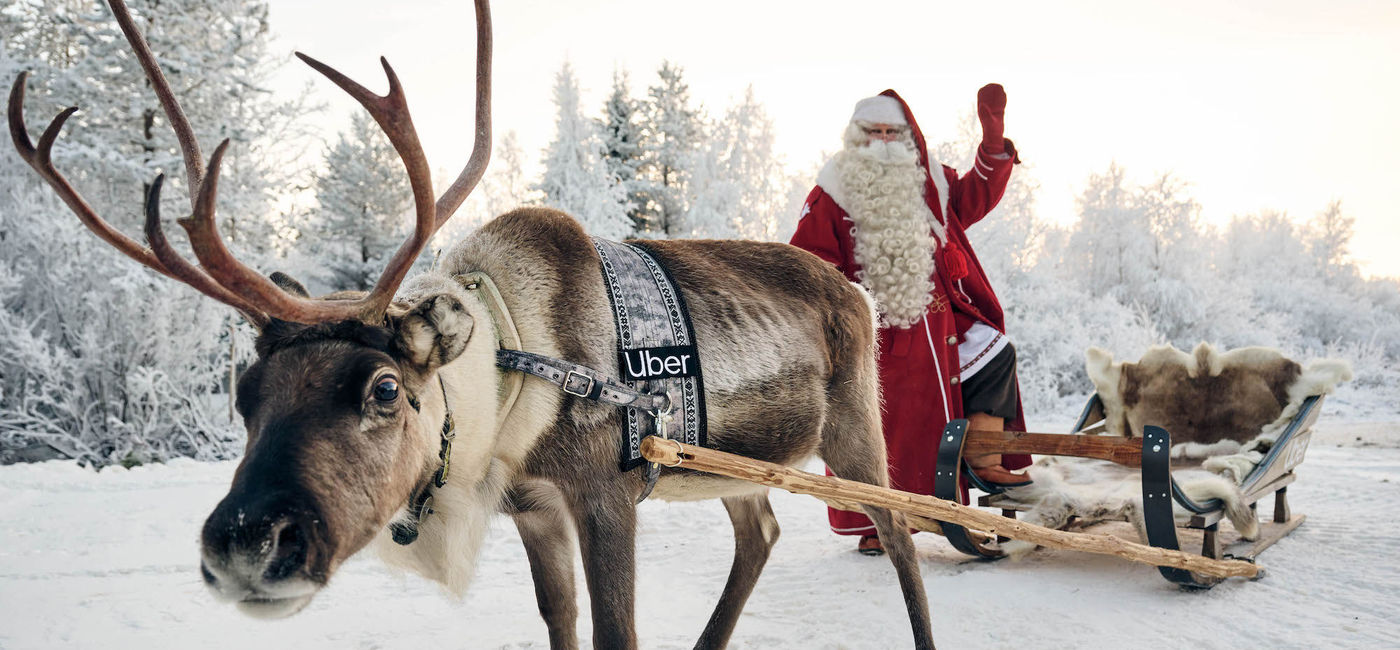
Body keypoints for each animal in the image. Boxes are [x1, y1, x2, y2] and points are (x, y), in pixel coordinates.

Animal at [7, 1, 935, 648]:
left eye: (385, 388)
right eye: (243, 394)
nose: (246, 541)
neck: (515, 362)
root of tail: (856, 291)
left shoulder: (605, 494)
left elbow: (615, 632)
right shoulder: (533, 507)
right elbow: (561, 626)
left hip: (856, 428)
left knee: (900, 531)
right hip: (731, 465)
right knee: (763, 530)